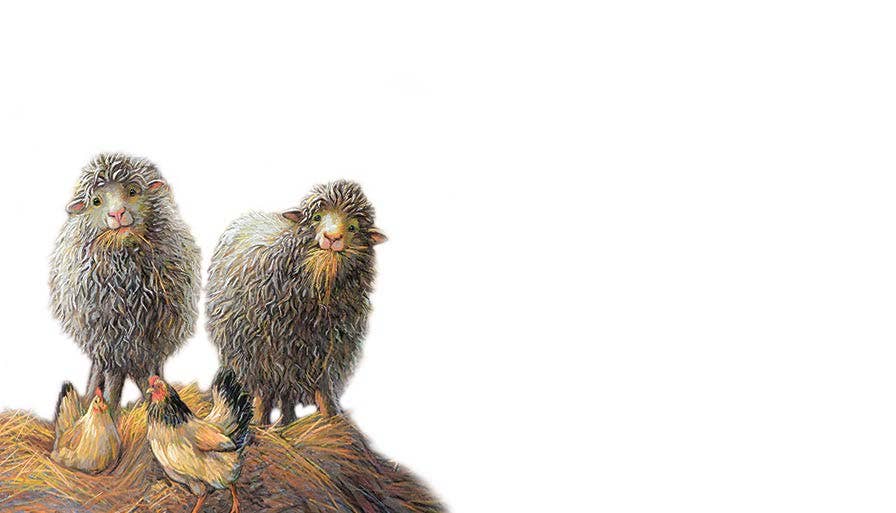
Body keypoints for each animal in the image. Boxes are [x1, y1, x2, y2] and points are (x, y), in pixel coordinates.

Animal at [49, 153, 200, 411]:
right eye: (96, 201)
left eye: (132, 191)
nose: (117, 214)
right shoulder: (113, 341)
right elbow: (113, 381)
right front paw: (110, 411)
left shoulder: (154, 338)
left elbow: (154, 372)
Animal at [206, 180, 387, 424]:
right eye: (317, 217)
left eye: (353, 228)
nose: (332, 238)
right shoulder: (259, 352)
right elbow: (263, 395)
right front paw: (258, 425)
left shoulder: (328, 352)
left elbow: (324, 391)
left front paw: (333, 421)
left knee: (287, 394)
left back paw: (287, 422)